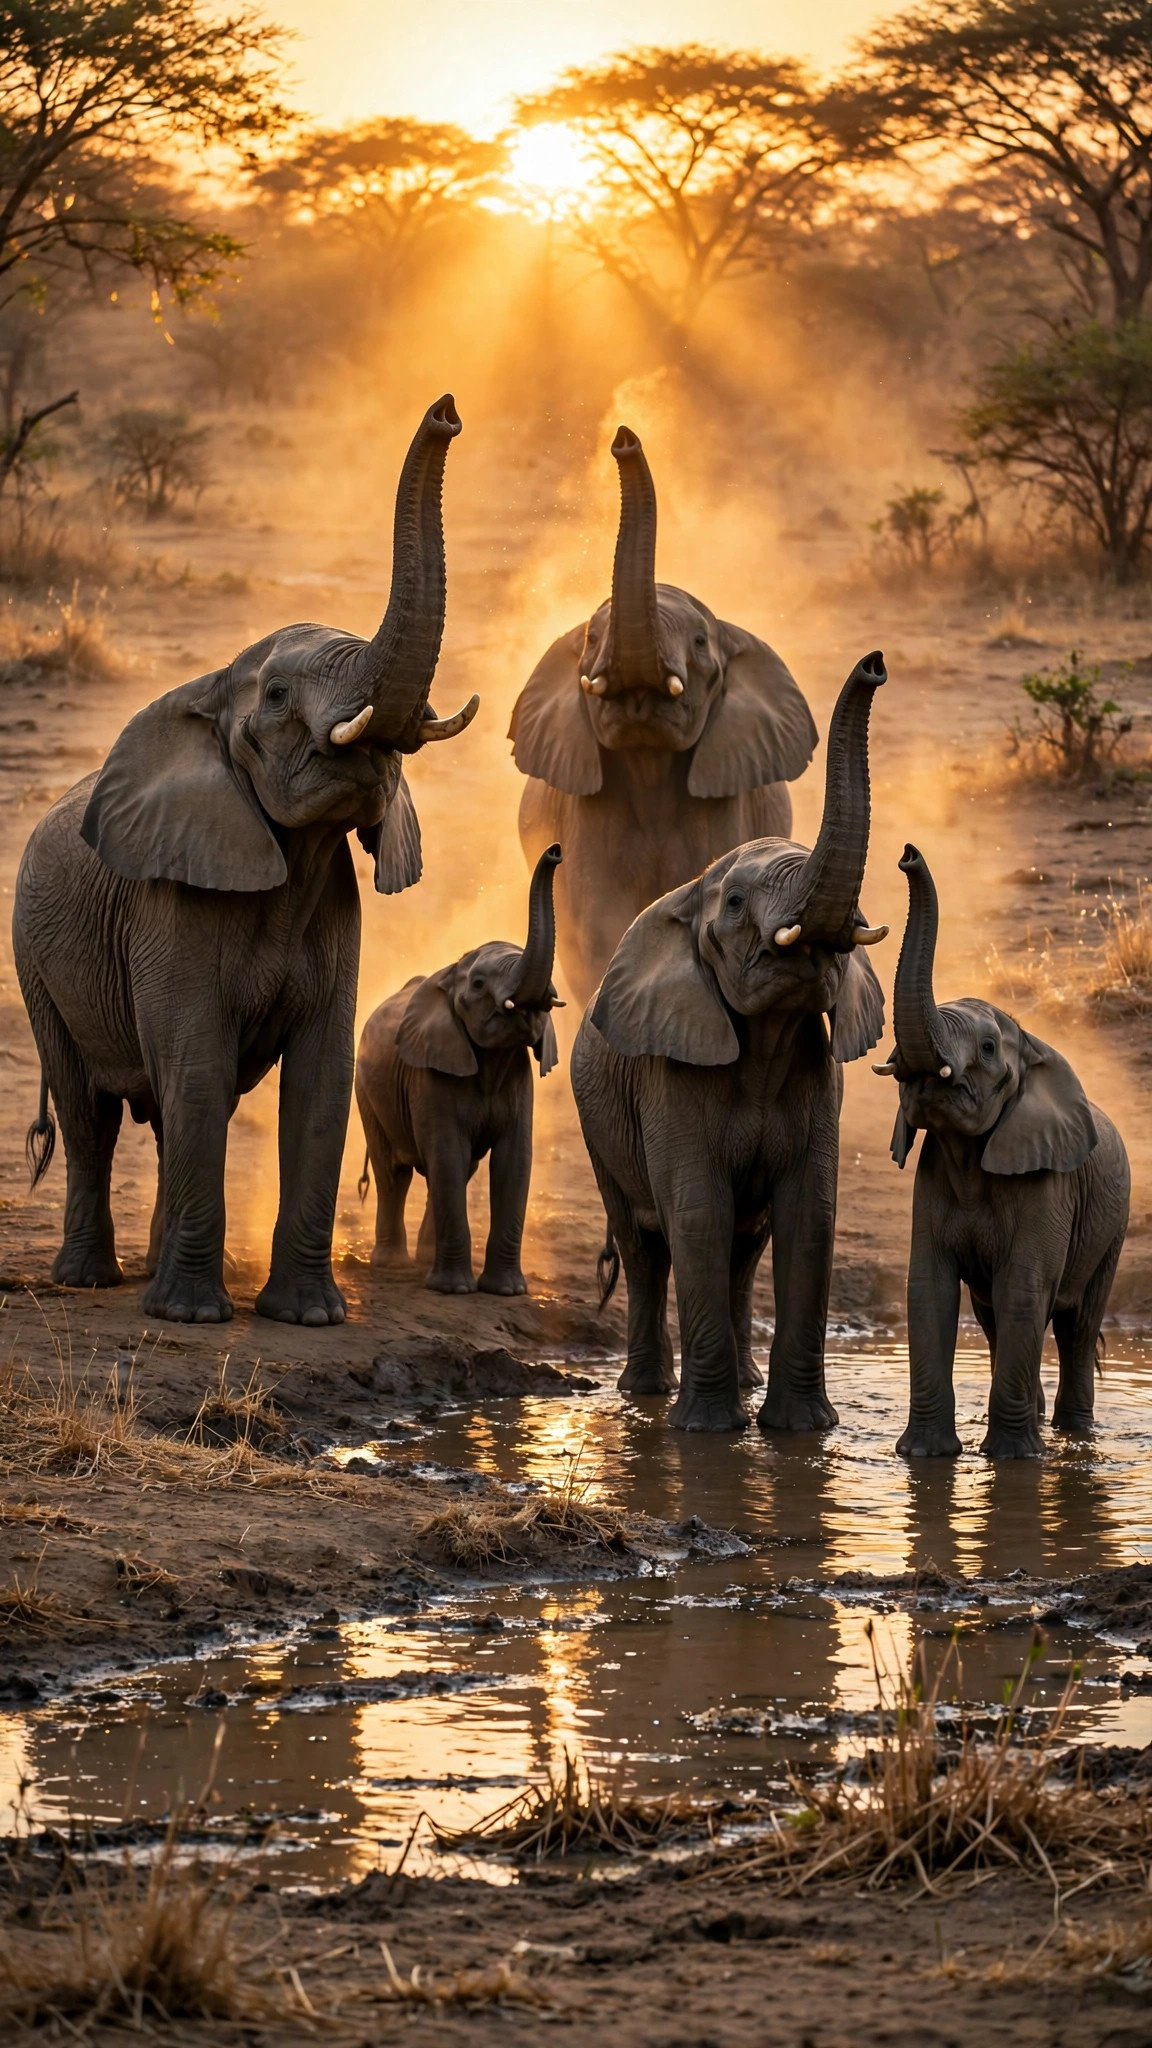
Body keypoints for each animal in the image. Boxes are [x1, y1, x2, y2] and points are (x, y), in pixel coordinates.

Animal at [13, 395, 478, 1326]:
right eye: (276, 695)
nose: (447, 412)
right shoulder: (170, 905)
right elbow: (195, 1065)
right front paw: (194, 1317)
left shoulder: (335, 903)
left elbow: (319, 1080)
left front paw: (310, 1316)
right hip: (32, 954)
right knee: (88, 1109)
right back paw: (95, 1281)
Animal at [354, 843, 563, 1295]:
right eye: (479, 985)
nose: (556, 851)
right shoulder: (431, 1075)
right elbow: (448, 1152)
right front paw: (453, 1290)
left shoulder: (519, 1078)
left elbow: (512, 1162)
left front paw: (507, 1292)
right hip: (366, 1091)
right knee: (393, 1171)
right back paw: (395, 1265)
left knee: (451, 1171)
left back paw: (424, 1260)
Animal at [571, 651, 889, 1433]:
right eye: (738, 902)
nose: (875, 665)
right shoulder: (670, 1074)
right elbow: (697, 1214)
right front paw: (708, 1436)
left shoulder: (817, 1075)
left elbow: (810, 1217)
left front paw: (803, 1434)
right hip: (597, 1125)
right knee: (644, 1247)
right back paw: (645, 1396)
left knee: (748, 1248)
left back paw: (743, 1385)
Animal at [876, 844, 1130, 1460]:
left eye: (989, 1049)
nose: (908, 854)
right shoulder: (932, 1177)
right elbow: (930, 1292)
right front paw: (923, 1457)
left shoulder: (1049, 1187)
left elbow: (1023, 1289)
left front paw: (1014, 1461)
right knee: (994, 1319)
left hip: (1112, 1228)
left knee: (1077, 1326)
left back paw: (1071, 1436)